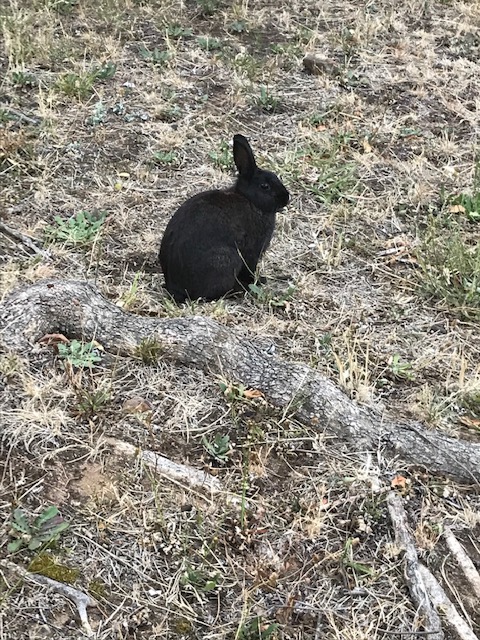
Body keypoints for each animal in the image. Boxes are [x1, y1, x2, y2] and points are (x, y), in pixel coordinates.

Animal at [159, 134, 290, 302]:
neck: (250, 199)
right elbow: (250, 270)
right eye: (265, 186)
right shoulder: (252, 252)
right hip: (226, 260)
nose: (286, 198)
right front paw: (259, 281)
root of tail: (176, 288)